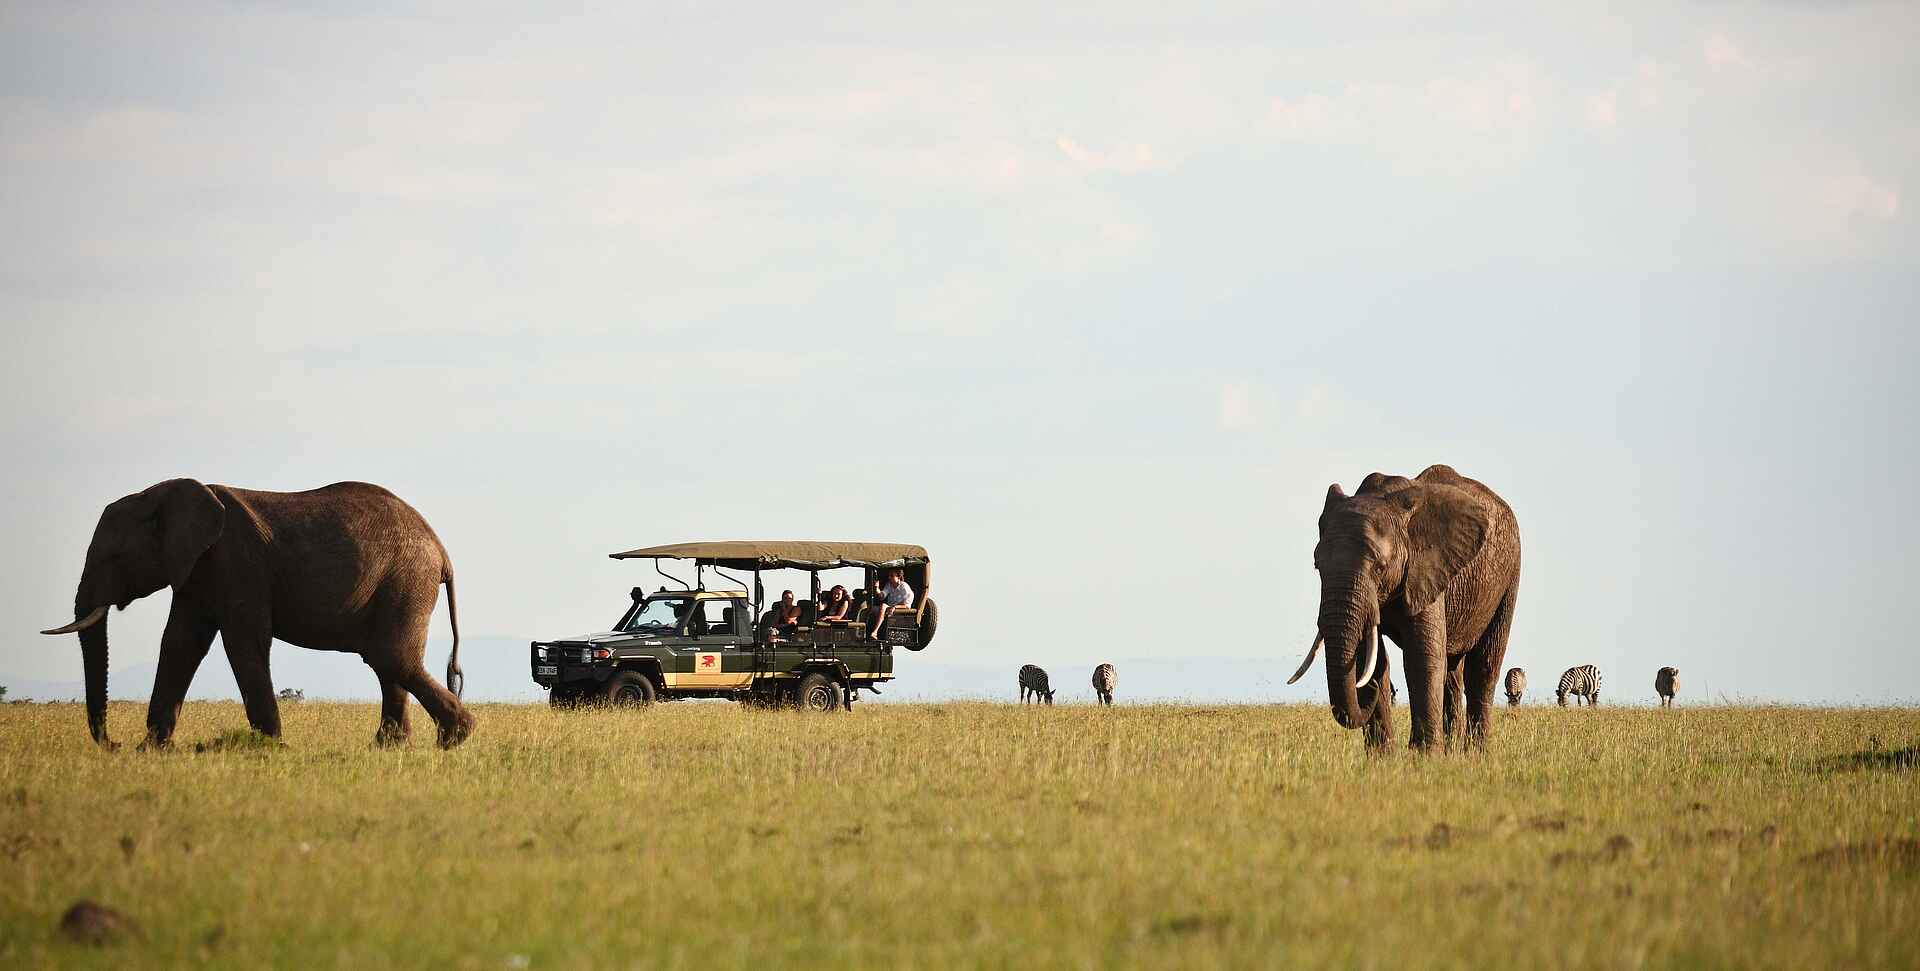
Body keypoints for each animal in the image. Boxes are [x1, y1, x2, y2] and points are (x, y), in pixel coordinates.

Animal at [40, 479, 473, 749]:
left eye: (115, 558)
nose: (113, 743)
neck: (163, 494)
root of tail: (442, 552)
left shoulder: (236, 562)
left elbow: (243, 642)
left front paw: (270, 748)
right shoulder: (196, 570)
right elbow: (180, 643)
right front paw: (151, 751)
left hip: (406, 579)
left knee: (388, 656)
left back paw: (454, 738)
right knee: (388, 662)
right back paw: (391, 748)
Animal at [1287, 465, 1521, 752]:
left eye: (1380, 566)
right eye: (1317, 565)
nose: (1373, 692)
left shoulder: (1427, 568)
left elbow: (1421, 657)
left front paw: (1424, 756)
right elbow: (1370, 658)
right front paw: (1382, 757)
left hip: (1509, 575)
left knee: (1482, 670)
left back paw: (1475, 755)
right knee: (1452, 674)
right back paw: (1452, 753)